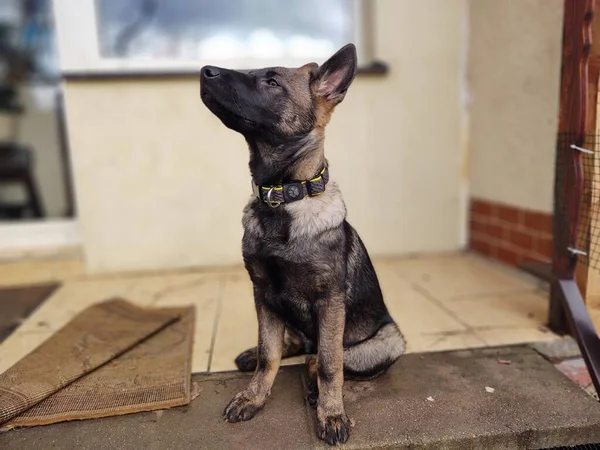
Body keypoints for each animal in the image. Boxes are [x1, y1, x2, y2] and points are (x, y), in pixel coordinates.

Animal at [199, 43, 406, 446]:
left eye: (272, 82)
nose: (204, 71)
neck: (283, 196)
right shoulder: (263, 293)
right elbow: (269, 353)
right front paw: (254, 395)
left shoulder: (329, 301)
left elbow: (329, 364)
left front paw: (331, 412)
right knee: (294, 345)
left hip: (388, 341)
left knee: (321, 356)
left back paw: (314, 384)